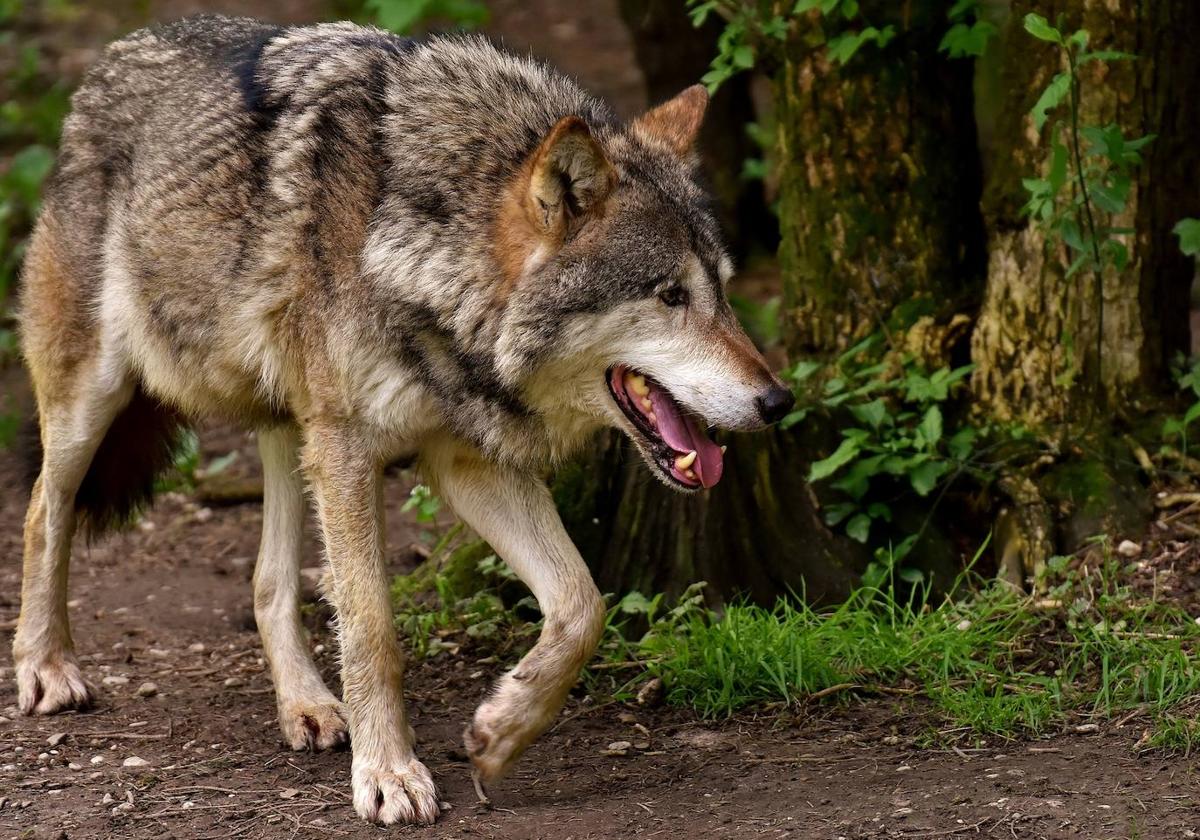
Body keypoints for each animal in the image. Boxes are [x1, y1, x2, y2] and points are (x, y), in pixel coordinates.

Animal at [14, 14, 796, 825]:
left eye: (724, 292)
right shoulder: (351, 450)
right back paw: (46, 667)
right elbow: (372, 628)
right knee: (44, 510)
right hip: (98, 400)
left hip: (292, 429)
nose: (778, 401)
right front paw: (388, 772)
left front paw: (501, 732)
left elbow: (583, 605)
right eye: (670, 296)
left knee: (268, 581)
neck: (425, 252)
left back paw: (308, 707)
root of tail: (113, 57)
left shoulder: (465, 461)